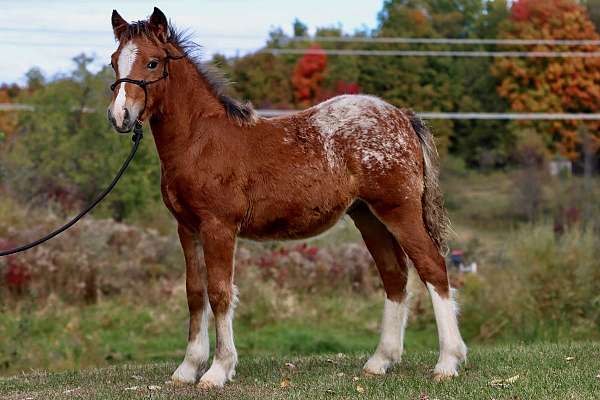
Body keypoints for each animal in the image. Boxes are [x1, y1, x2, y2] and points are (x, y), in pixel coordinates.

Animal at [105, 6, 466, 388]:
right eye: (114, 61)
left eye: (153, 63)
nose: (120, 116)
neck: (200, 140)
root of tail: (402, 116)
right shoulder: (187, 229)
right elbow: (194, 292)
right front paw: (188, 368)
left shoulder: (219, 228)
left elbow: (220, 292)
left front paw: (218, 369)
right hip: (368, 216)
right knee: (394, 276)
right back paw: (380, 360)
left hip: (399, 210)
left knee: (432, 267)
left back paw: (447, 362)